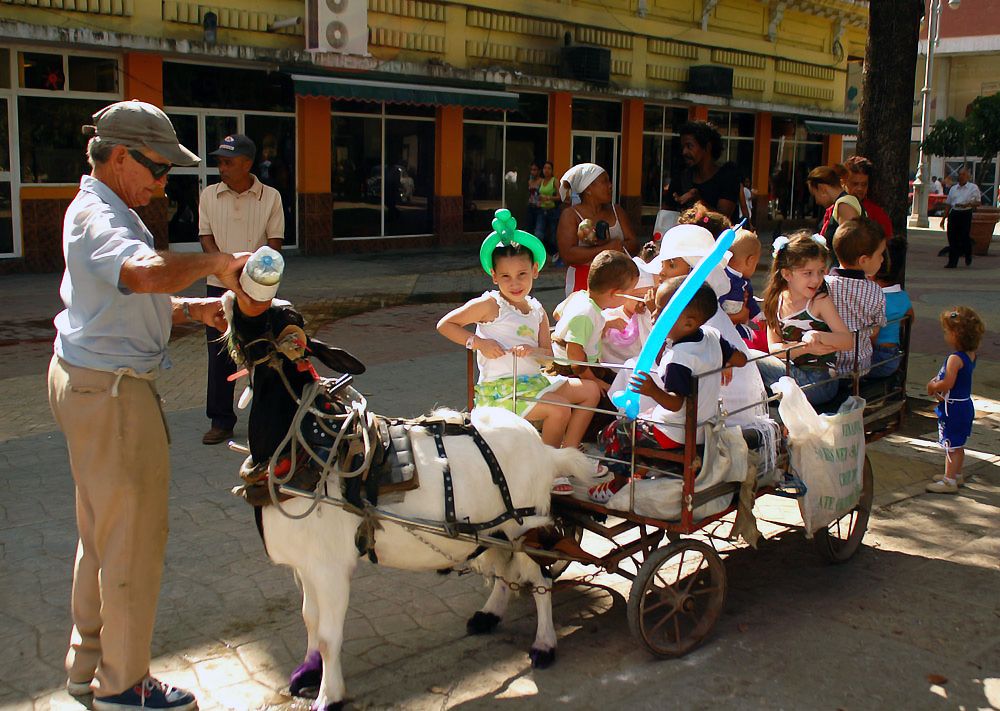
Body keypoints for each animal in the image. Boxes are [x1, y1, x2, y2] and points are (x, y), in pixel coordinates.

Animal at [224, 294, 596, 710]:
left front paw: (329, 695)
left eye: (284, 317)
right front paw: (307, 672)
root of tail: (544, 448)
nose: (236, 297)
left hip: (526, 525)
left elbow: (329, 634)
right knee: (505, 568)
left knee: (540, 577)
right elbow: (309, 620)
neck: (305, 451)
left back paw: (544, 645)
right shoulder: (306, 564)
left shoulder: (331, 567)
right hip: (496, 528)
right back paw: (489, 614)